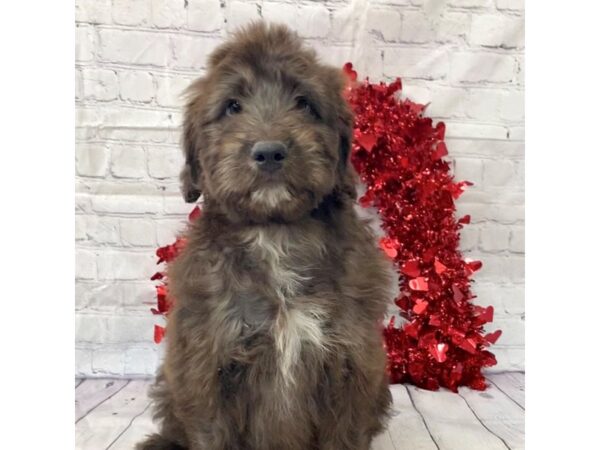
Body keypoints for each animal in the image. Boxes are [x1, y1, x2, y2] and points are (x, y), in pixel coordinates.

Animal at [138, 22, 396, 450]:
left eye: (304, 103)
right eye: (232, 106)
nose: (270, 152)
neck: (276, 232)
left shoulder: (351, 363)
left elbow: (344, 433)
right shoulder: (207, 366)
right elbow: (212, 433)